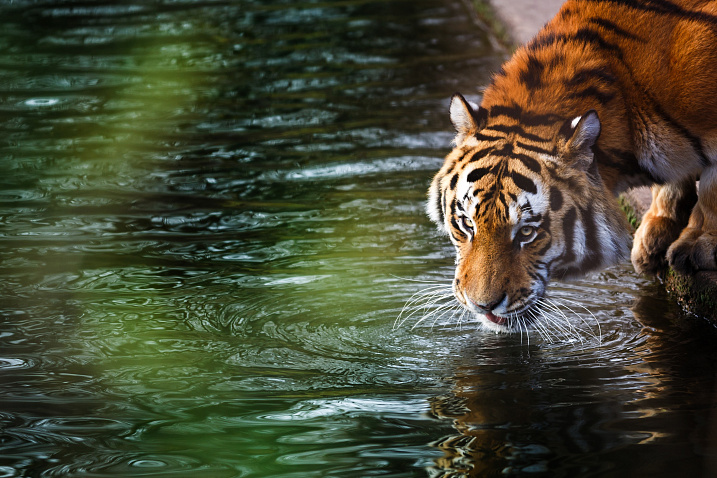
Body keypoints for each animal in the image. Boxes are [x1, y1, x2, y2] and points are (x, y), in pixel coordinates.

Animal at [427, 0, 717, 333]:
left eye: (527, 232)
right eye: (466, 224)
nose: (483, 306)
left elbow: (713, 188)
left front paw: (697, 244)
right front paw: (655, 234)